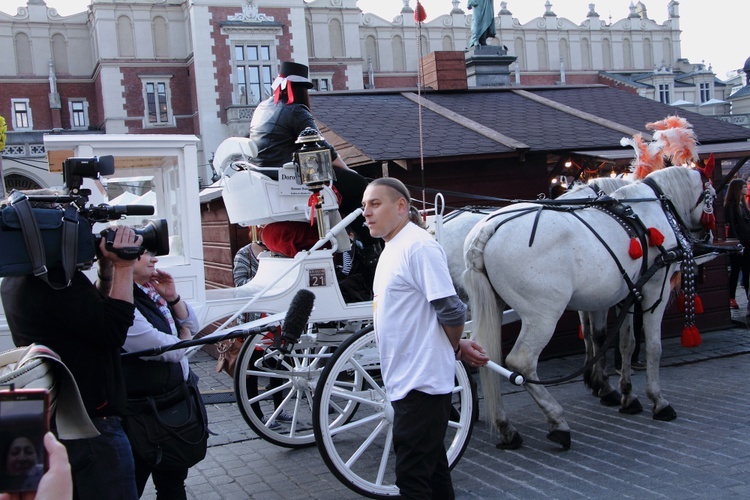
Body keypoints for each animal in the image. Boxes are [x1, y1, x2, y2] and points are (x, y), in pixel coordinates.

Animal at [464, 167, 716, 450]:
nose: (709, 236)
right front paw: (658, 401)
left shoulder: (626, 295)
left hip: (494, 306)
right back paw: (557, 421)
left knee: (487, 358)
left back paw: (506, 427)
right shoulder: (653, 292)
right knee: (520, 362)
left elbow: (625, 344)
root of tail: (487, 229)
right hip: (543, 316)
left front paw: (627, 395)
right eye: (713, 196)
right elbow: (653, 347)